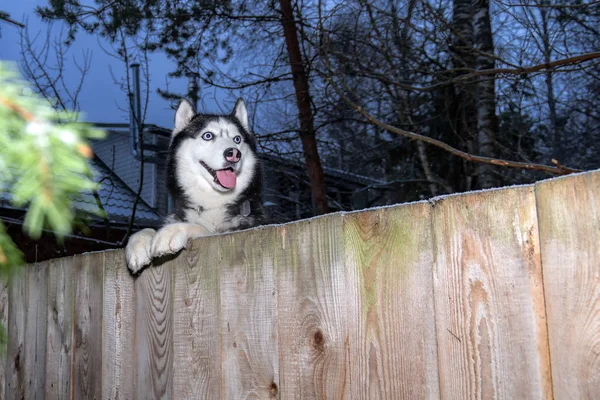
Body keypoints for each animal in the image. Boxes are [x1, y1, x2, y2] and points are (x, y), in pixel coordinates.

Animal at [126, 99, 264, 276]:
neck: (212, 202)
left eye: (237, 139)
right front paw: (138, 244)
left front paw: (171, 232)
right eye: (208, 135)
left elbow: (201, 228)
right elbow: (146, 229)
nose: (234, 154)